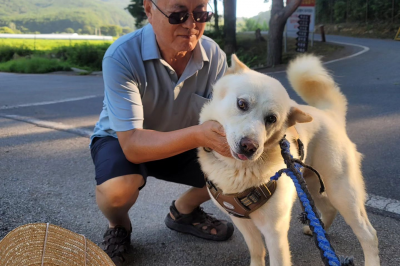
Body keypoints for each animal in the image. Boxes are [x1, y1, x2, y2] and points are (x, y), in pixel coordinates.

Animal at [198, 54, 380, 266]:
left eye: (271, 119)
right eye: (242, 104)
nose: (249, 147)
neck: (239, 171)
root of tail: (329, 114)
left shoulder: (274, 231)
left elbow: (277, 259)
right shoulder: (242, 222)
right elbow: (256, 252)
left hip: (342, 192)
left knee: (369, 234)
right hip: (310, 185)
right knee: (327, 209)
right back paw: (317, 232)